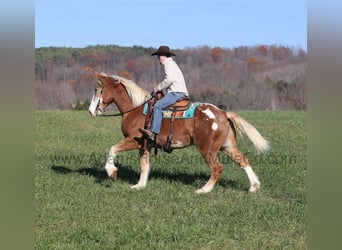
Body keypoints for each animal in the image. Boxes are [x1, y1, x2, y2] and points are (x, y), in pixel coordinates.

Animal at [89, 72, 270, 193]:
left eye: (97, 89)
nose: (91, 111)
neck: (136, 110)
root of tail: (223, 113)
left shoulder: (134, 140)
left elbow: (112, 149)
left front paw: (112, 172)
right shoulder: (145, 145)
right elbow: (144, 165)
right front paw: (139, 185)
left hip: (207, 149)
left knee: (217, 168)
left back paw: (203, 190)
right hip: (227, 146)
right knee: (243, 161)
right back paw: (254, 187)